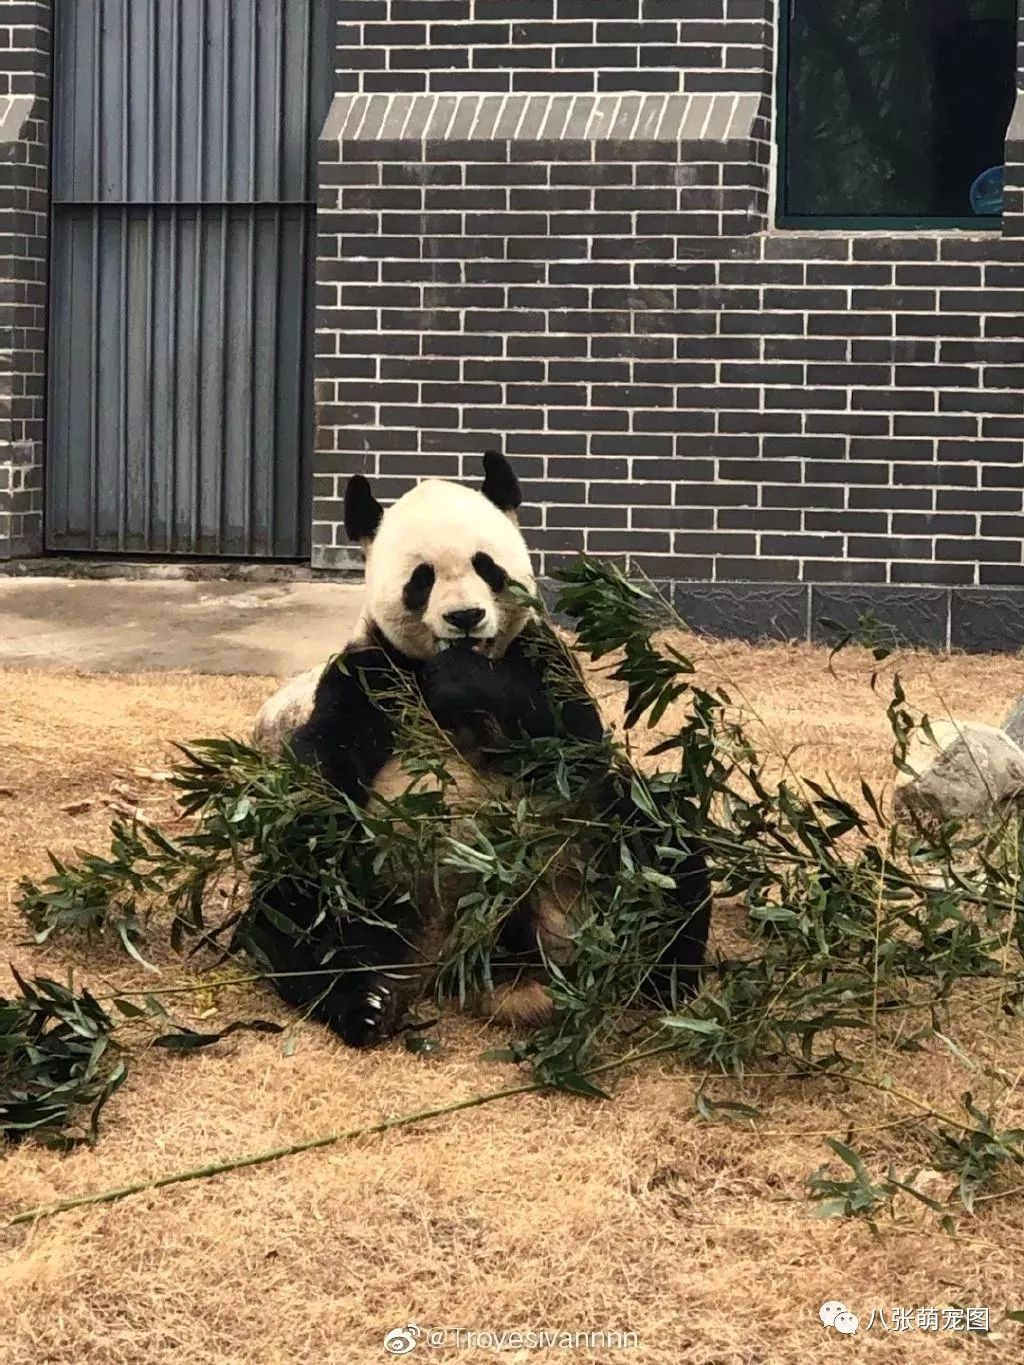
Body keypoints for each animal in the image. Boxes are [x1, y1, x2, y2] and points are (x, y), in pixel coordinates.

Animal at [248, 450, 715, 1042]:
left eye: (486, 566)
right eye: (421, 579)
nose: (465, 618)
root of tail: (455, 955)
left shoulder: (540, 655)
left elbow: (575, 741)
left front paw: (464, 680)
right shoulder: (372, 673)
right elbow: (326, 763)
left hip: (588, 854)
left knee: (664, 847)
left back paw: (661, 986)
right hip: (375, 883)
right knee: (293, 905)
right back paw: (365, 1003)